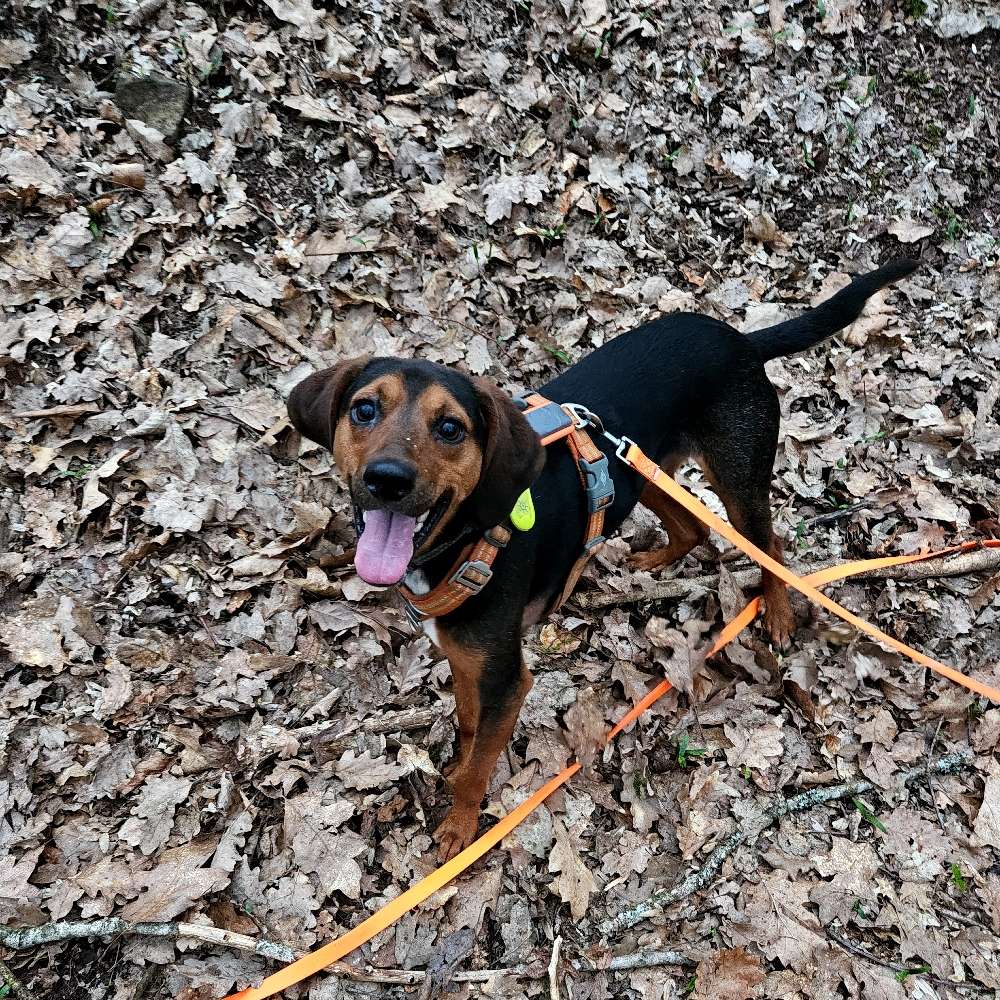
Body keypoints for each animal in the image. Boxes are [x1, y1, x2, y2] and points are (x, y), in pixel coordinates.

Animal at [286, 258, 916, 860]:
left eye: (450, 427)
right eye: (364, 410)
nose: (387, 479)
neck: (464, 538)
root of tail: (739, 339)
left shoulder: (507, 680)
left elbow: (479, 766)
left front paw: (459, 831)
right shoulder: (469, 661)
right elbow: (467, 727)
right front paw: (456, 771)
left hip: (736, 479)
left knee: (772, 546)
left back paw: (779, 614)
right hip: (642, 470)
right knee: (692, 527)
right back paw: (649, 563)